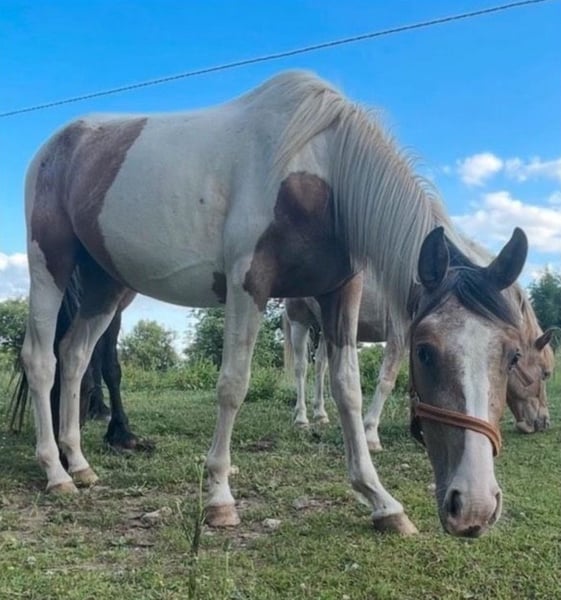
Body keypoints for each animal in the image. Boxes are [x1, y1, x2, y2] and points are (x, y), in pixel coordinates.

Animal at [283, 276, 555, 449]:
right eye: (545, 373)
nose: (543, 423)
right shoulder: (400, 335)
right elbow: (387, 381)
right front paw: (370, 433)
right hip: (299, 318)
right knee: (301, 368)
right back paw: (302, 418)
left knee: (320, 367)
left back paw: (320, 414)